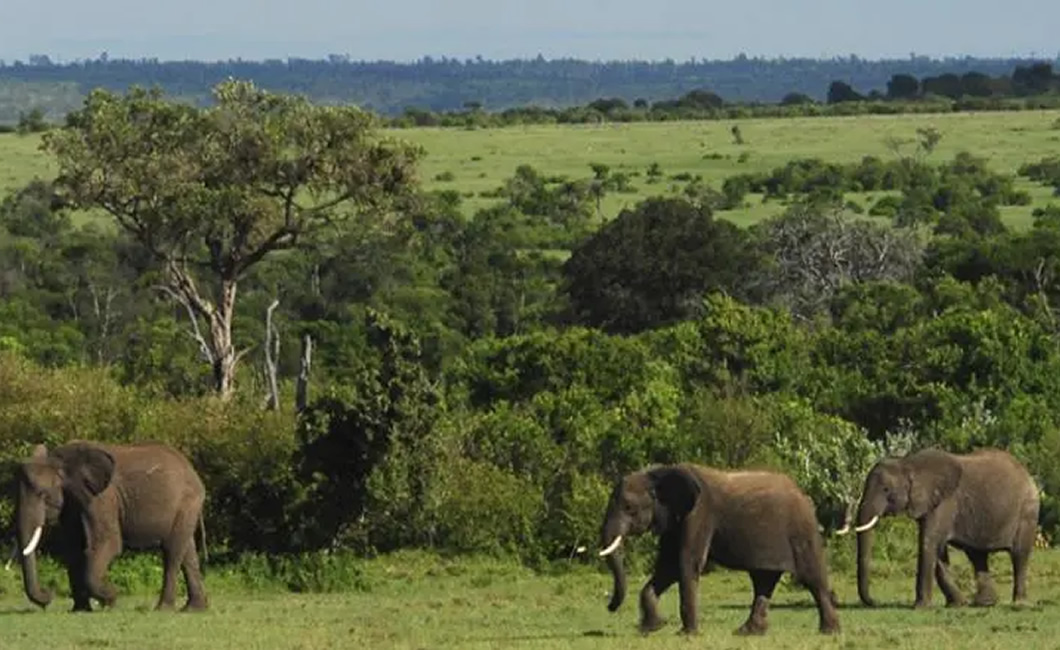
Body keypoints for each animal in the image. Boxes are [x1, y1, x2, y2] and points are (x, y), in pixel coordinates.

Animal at [14, 438, 207, 610]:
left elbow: (107, 543)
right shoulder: (72, 502)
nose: (49, 595)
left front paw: (112, 598)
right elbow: (73, 548)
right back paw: (193, 609)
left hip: (187, 502)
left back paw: (163, 609)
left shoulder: (103, 498)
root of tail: (192, 470)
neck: (59, 462)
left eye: (43, 495)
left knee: (172, 551)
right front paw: (81, 610)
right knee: (187, 552)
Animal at [597, 462, 835, 631]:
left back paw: (829, 631)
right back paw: (747, 632)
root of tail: (804, 494)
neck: (658, 473)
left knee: (812, 578)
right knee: (763, 580)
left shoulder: (699, 514)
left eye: (629, 508)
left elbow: (686, 562)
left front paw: (687, 634)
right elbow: (668, 566)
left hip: (802, 530)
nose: (609, 607)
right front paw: (652, 628)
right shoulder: (674, 521)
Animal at [843, 449, 1043, 606]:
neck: (908, 463)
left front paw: (920, 607)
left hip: (1027, 511)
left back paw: (1019, 603)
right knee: (977, 555)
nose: (875, 602)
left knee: (1019, 555)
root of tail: (1027, 473)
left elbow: (928, 543)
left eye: (886, 490)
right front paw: (957, 604)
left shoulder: (945, 502)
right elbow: (937, 550)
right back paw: (984, 603)